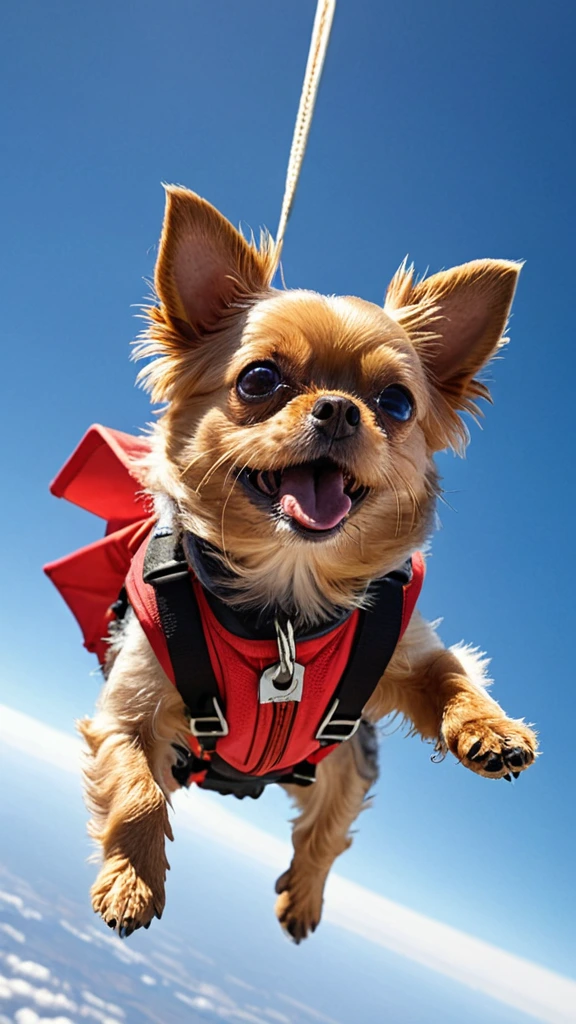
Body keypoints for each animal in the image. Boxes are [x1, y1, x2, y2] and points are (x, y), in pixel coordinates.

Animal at [78, 188, 537, 937]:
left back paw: (303, 896)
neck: (286, 599)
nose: (340, 409)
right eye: (259, 379)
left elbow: (451, 677)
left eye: (396, 403)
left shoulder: (404, 651)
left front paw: (490, 730)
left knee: (329, 826)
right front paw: (132, 885)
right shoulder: (128, 709)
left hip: (347, 761)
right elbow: (137, 792)